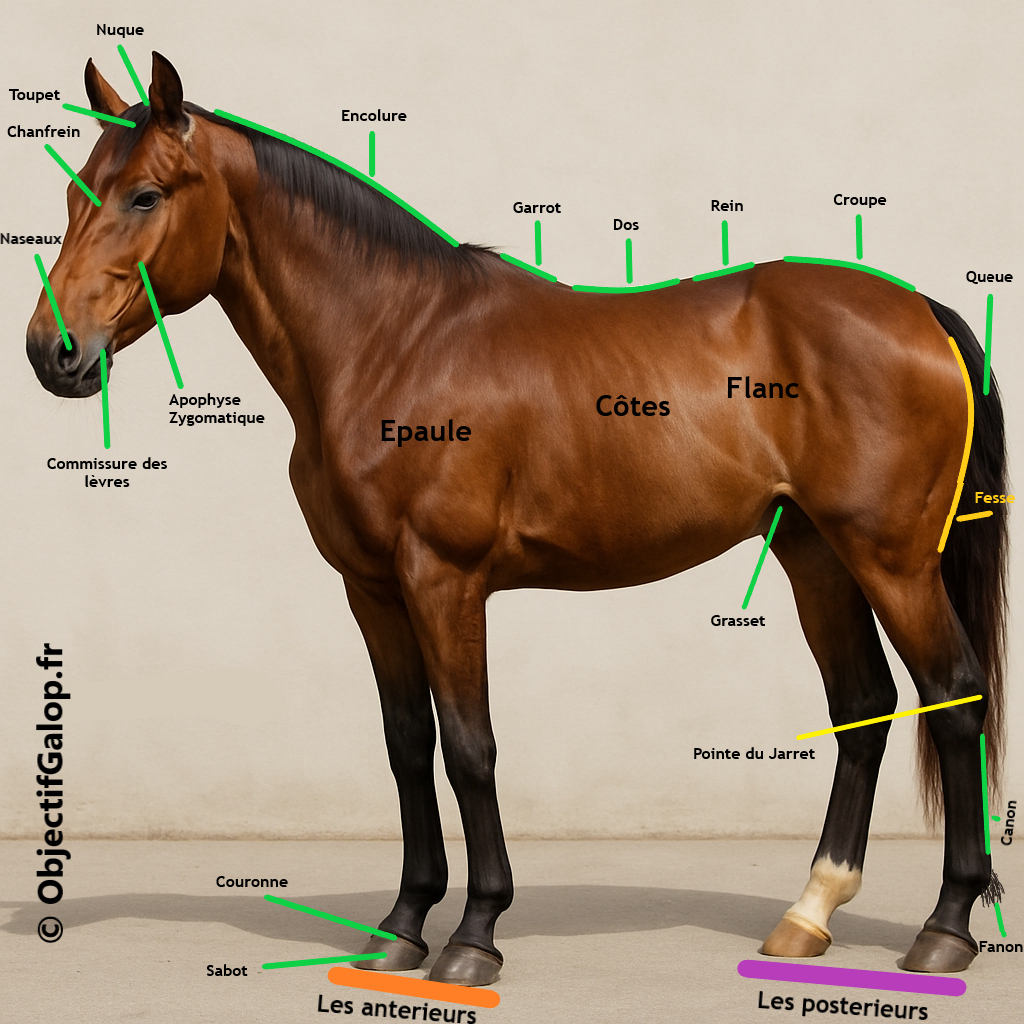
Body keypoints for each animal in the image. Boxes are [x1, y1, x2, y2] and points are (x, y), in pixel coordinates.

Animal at [26, 53, 1006, 985]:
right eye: (74, 194)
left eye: (146, 195)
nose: (51, 354)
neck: (392, 342)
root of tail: (919, 309)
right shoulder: (371, 591)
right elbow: (406, 744)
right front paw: (399, 929)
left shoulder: (444, 579)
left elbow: (470, 748)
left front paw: (475, 935)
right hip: (814, 553)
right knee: (863, 705)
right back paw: (809, 915)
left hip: (890, 557)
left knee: (953, 693)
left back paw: (944, 929)